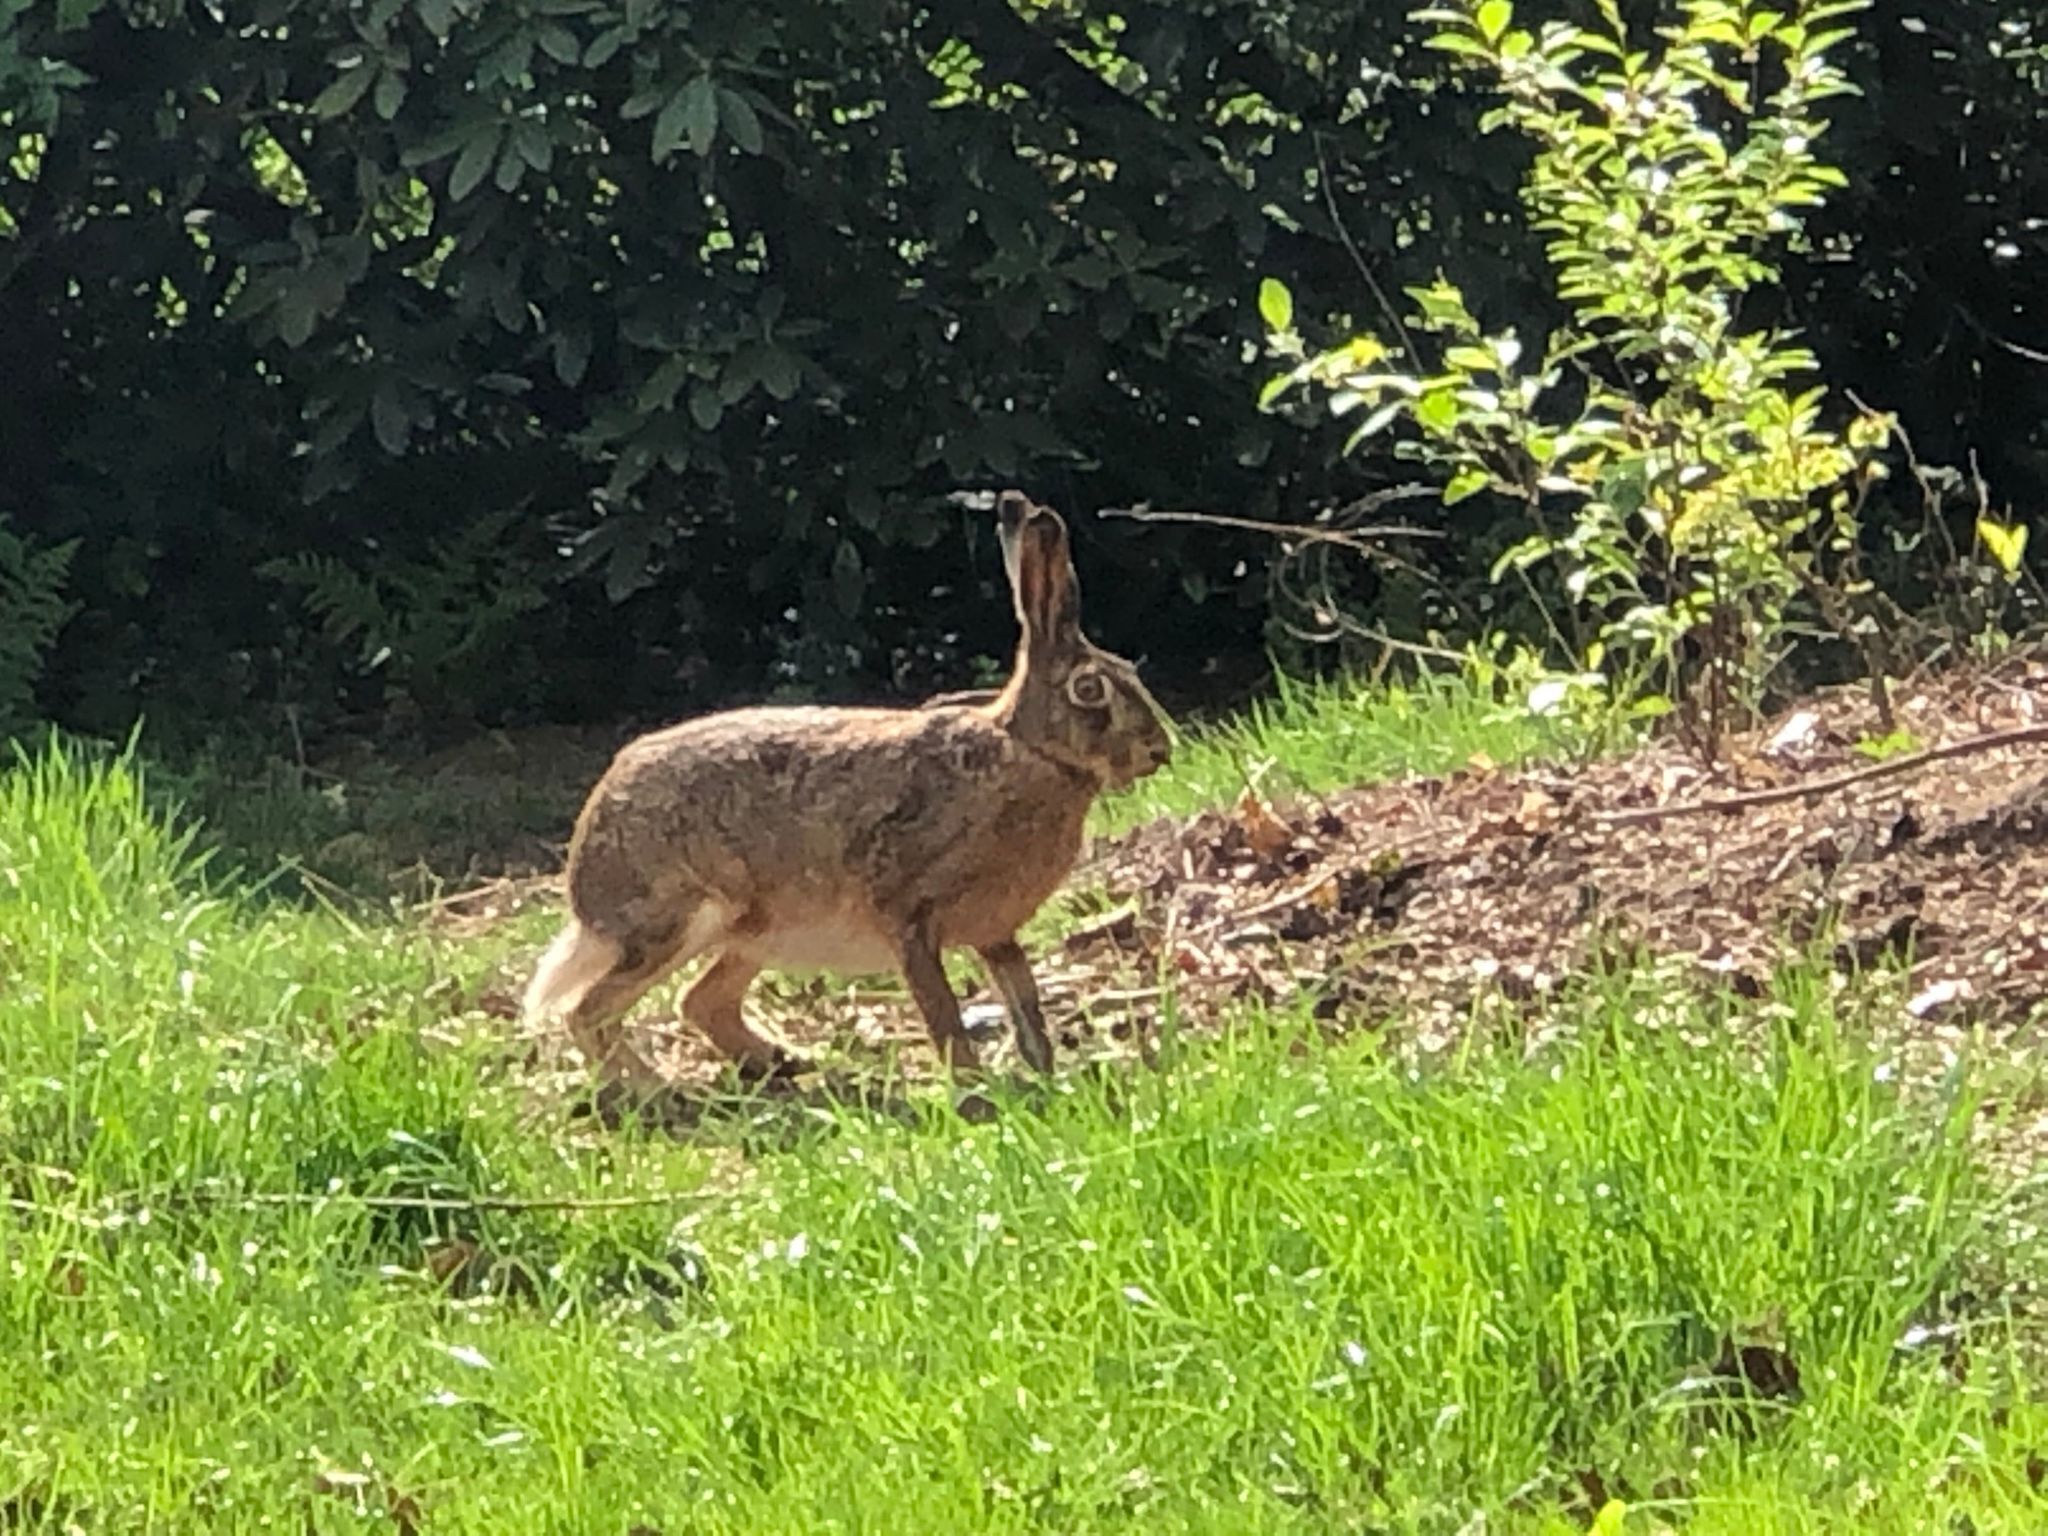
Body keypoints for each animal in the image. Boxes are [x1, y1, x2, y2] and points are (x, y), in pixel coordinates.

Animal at [521, 490, 1174, 1102]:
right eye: (1089, 689)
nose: (1160, 750)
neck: (1031, 751)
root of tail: (585, 871)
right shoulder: (909, 916)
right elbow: (943, 1013)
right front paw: (973, 1090)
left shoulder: (997, 933)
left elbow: (1026, 1003)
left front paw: (1045, 1074)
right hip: (680, 921)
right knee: (587, 1012)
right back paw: (658, 1090)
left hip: (753, 934)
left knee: (700, 1001)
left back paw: (785, 1064)